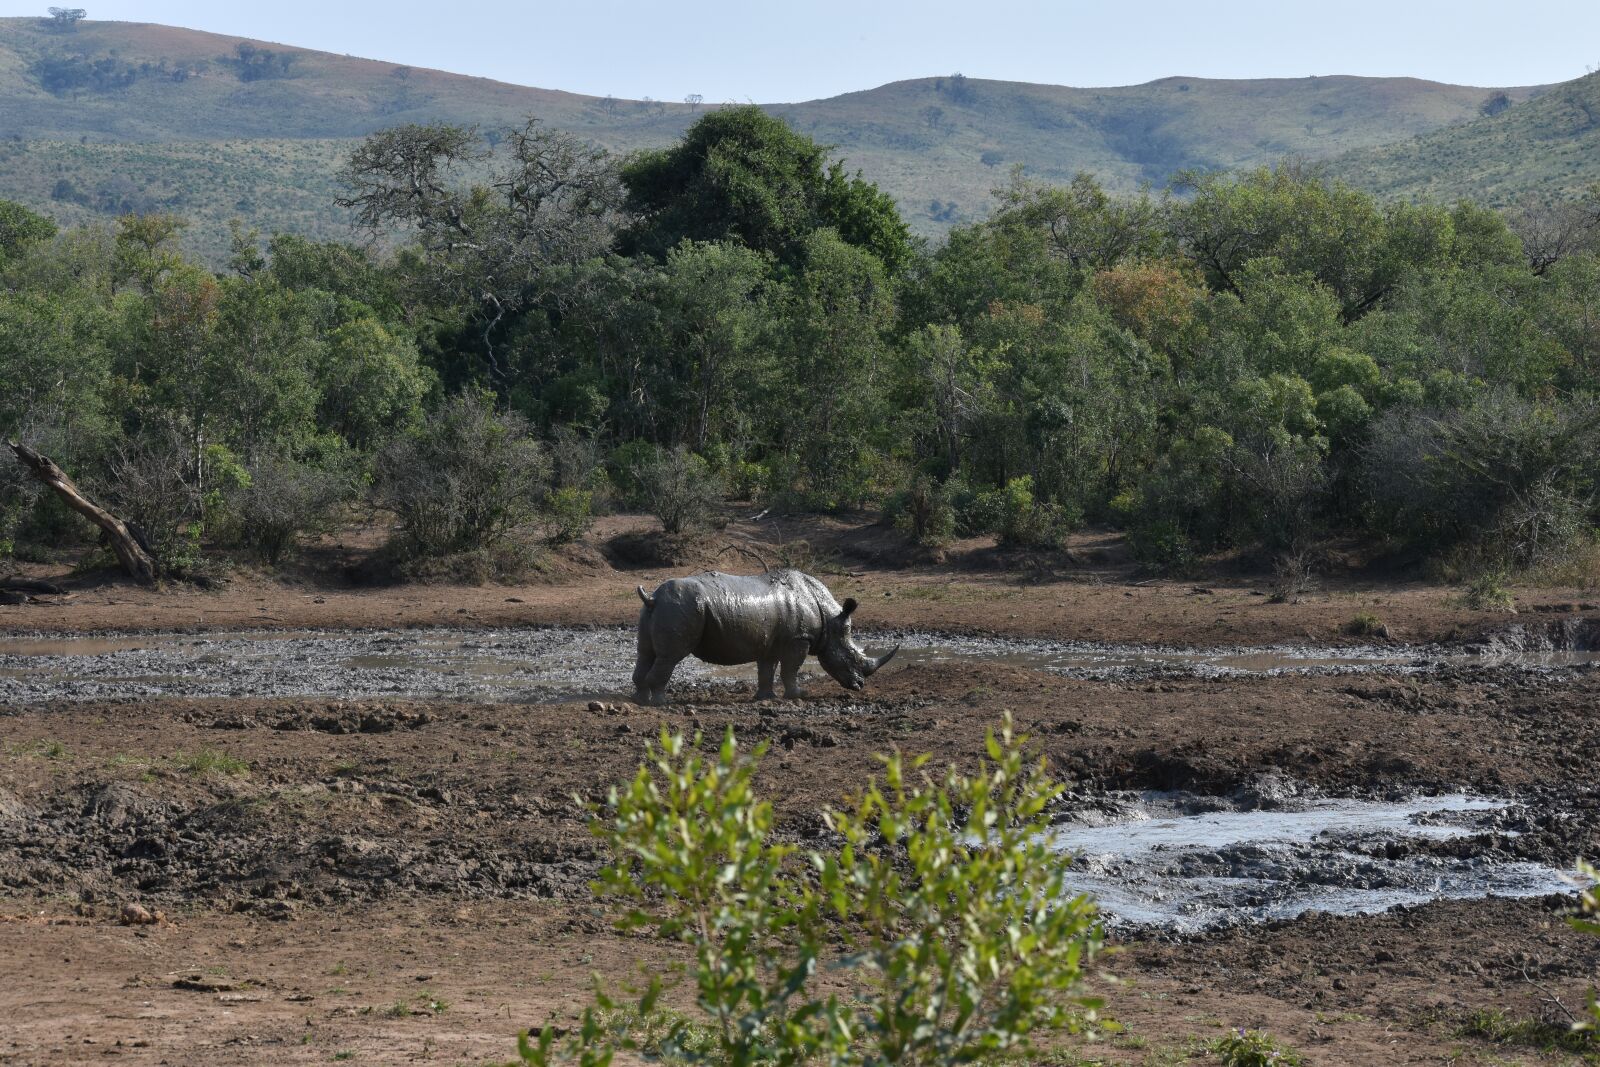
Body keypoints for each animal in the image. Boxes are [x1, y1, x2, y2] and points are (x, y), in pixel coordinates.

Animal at [632, 569, 900, 705]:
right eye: (851, 656)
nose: (860, 685)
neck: (829, 618)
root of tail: (653, 598)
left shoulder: (771, 641)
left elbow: (767, 669)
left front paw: (765, 698)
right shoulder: (799, 639)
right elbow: (790, 669)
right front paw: (799, 695)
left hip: (659, 610)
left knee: (645, 652)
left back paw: (640, 699)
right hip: (681, 608)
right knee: (670, 656)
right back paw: (660, 702)